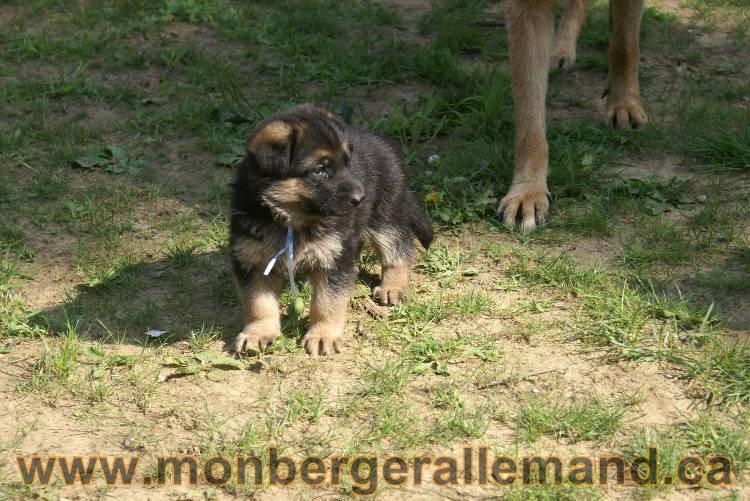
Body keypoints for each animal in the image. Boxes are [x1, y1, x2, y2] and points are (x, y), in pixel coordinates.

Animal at [231, 104, 434, 356]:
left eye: (347, 164)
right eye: (319, 170)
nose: (361, 197)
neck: (289, 218)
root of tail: (384, 142)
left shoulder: (334, 258)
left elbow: (327, 301)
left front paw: (322, 335)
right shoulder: (252, 259)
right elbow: (258, 303)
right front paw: (258, 333)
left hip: (385, 217)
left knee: (398, 249)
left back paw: (391, 287)